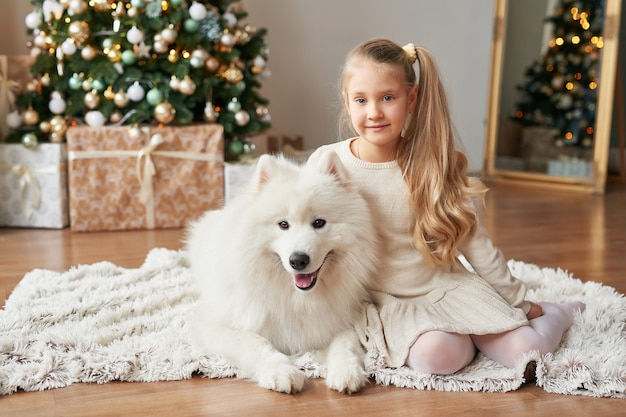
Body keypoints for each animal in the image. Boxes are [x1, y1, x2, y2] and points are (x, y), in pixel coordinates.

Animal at [184, 151, 380, 392]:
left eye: (319, 222)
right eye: (283, 224)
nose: (298, 260)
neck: (297, 298)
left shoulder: (343, 319)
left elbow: (345, 344)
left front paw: (347, 371)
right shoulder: (217, 327)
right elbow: (256, 343)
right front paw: (282, 371)